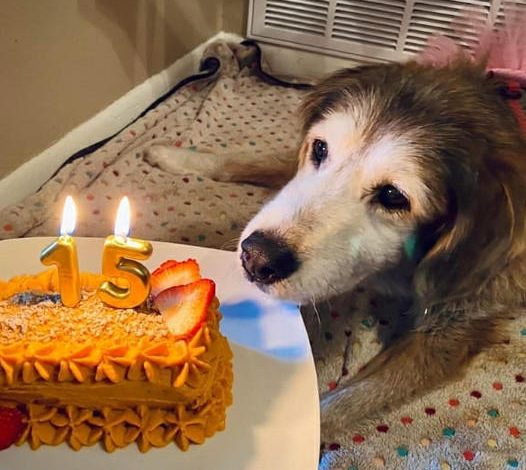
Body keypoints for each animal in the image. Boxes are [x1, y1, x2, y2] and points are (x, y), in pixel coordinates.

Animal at [145, 51, 526, 436]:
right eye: (320, 148)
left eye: (393, 196)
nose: (256, 258)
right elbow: (256, 161)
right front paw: (179, 157)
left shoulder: (452, 328)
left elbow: (345, 400)